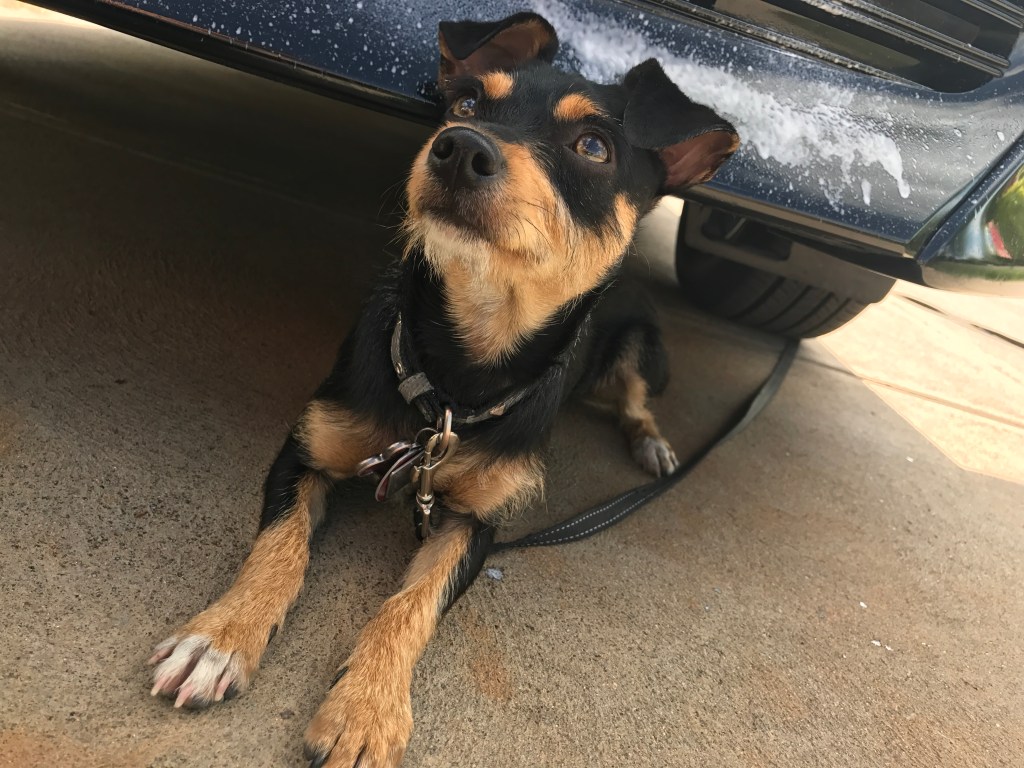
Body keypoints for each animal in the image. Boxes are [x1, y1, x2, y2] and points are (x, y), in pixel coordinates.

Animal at [147, 12, 738, 767]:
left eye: (594, 147)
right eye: (466, 105)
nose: (459, 148)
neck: (458, 377)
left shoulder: (477, 524)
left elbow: (412, 606)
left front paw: (366, 708)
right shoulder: (304, 453)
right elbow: (279, 550)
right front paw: (220, 637)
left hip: (641, 347)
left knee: (634, 399)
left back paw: (652, 443)